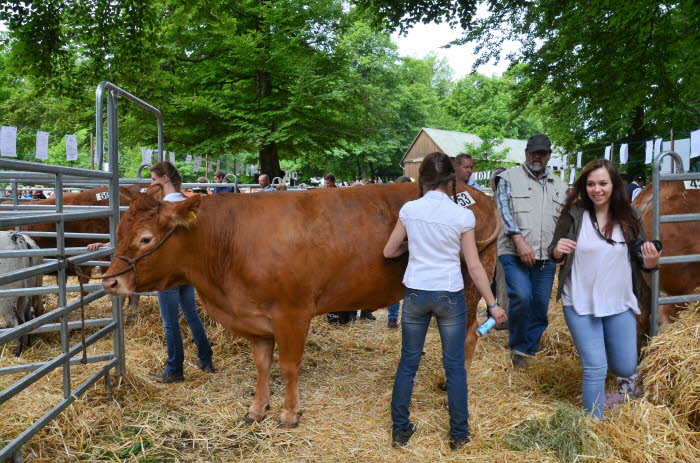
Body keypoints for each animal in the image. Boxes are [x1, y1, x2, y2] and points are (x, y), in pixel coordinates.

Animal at [101, 184, 500, 428]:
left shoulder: (292, 314)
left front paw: (290, 414)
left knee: (466, 336)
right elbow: (262, 366)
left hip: (470, 283)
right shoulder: (255, 318)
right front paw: (257, 409)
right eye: (118, 231)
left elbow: (289, 367)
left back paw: (453, 385)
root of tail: (475, 193)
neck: (230, 242)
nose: (110, 282)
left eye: (145, 238)